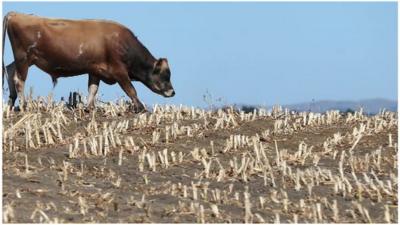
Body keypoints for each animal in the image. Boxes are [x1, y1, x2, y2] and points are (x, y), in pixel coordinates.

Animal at [2, 11, 175, 111]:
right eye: (165, 75)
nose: (173, 92)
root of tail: (16, 14)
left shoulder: (95, 70)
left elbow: (93, 89)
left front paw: (89, 108)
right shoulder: (119, 70)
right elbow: (130, 89)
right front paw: (140, 107)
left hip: (26, 60)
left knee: (9, 70)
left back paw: (11, 102)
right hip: (23, 58)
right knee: (19, 79)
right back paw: (23, 105)